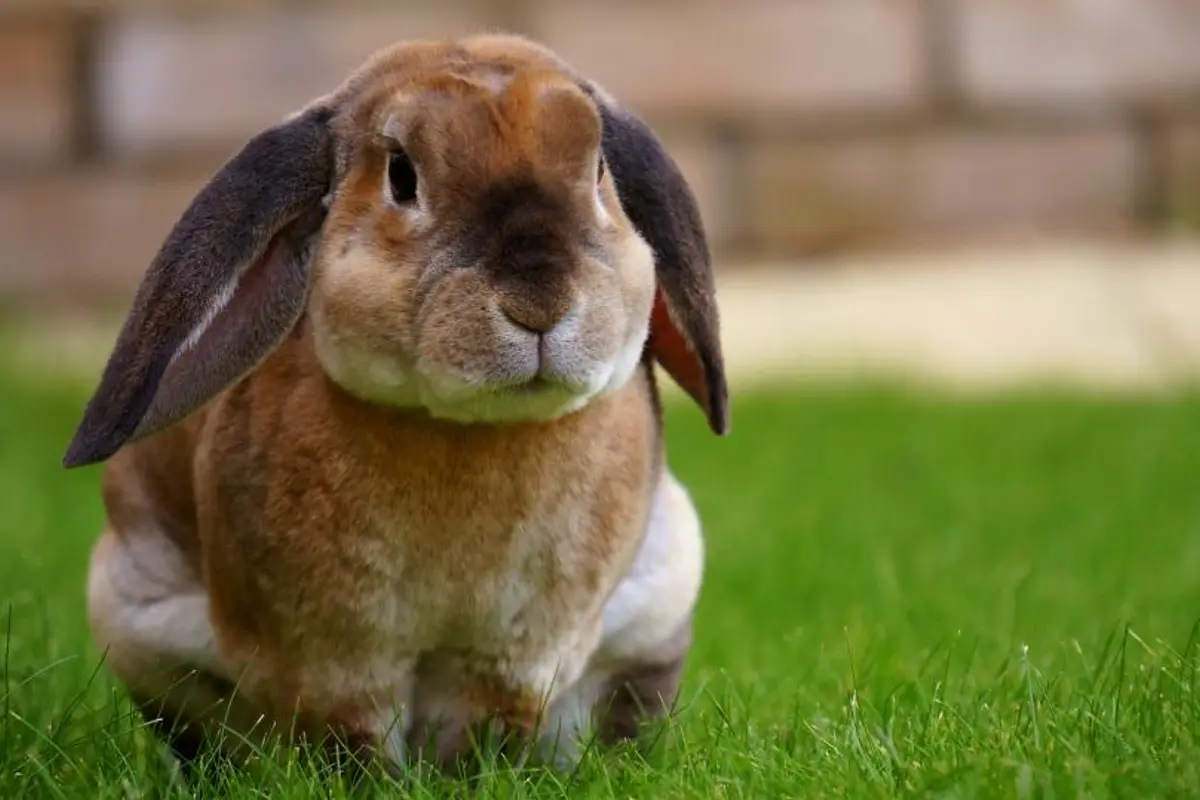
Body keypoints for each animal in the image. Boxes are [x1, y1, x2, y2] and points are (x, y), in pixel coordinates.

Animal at [63, 32, 728, 778]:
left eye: (598, 172)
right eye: (402, 177)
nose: (540, 302)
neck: (470, 431)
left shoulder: (515, 657)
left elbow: (490, 727)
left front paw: (474, 780)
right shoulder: (333, 660)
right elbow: (351, 737)